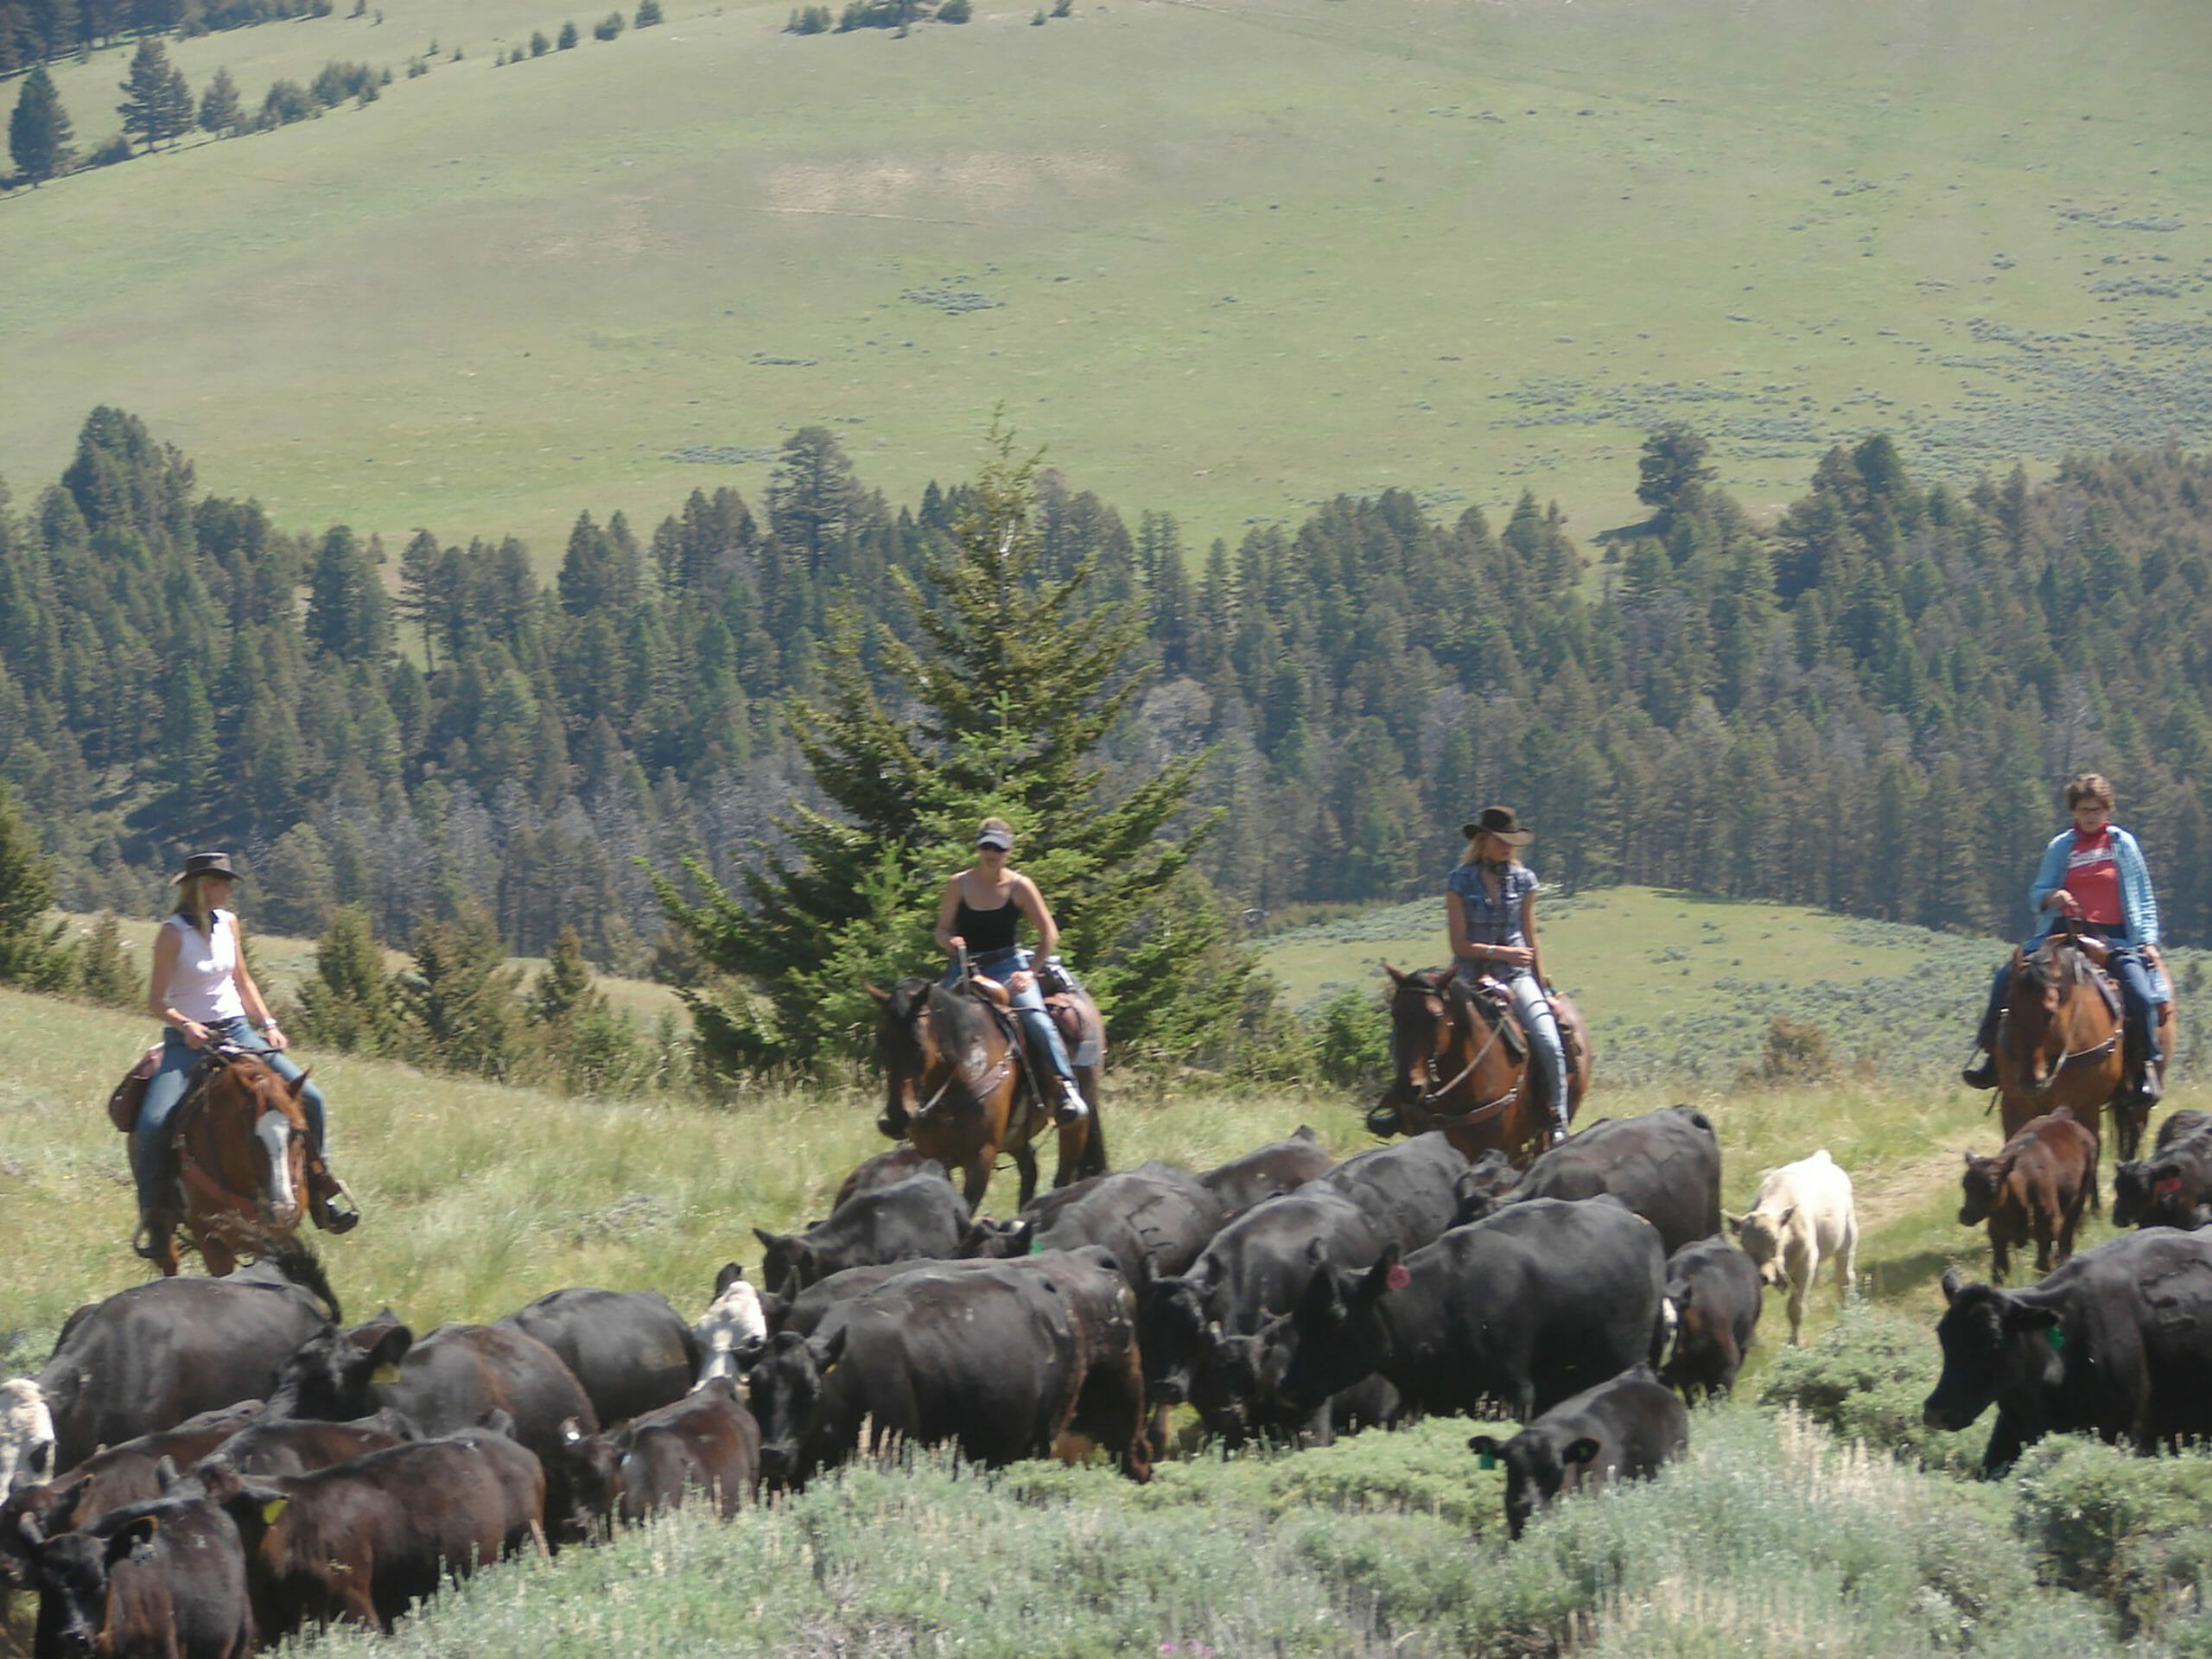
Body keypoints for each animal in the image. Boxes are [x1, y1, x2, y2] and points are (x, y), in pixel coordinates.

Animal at [1250, 1196, 1669, 1426]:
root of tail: (1643, 1227)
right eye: (1298, 1313)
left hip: (1624, 1355)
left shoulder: (1514, 1390)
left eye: (1335, 1314)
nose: (1286, 1385)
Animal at [1727, 1148, 1858, 1345]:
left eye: (1775, 1240)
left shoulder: (1805, 1265)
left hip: (1847, 1241)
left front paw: (1796, 1343)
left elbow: (1795, 1308)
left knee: (1845, 1279)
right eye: (1743, 1243)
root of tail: (1821, 1158)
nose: (1762, 1276)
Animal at [1958, 1108, 2100, 1283]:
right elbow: (1999, 1270)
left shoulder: (2047, 1231)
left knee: (2067, 1240)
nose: (1965, 1215)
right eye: (1964, 1184)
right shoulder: (1997, 1235)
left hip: (2078, 1201)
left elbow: (2042, 1268)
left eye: (1991, 1186)